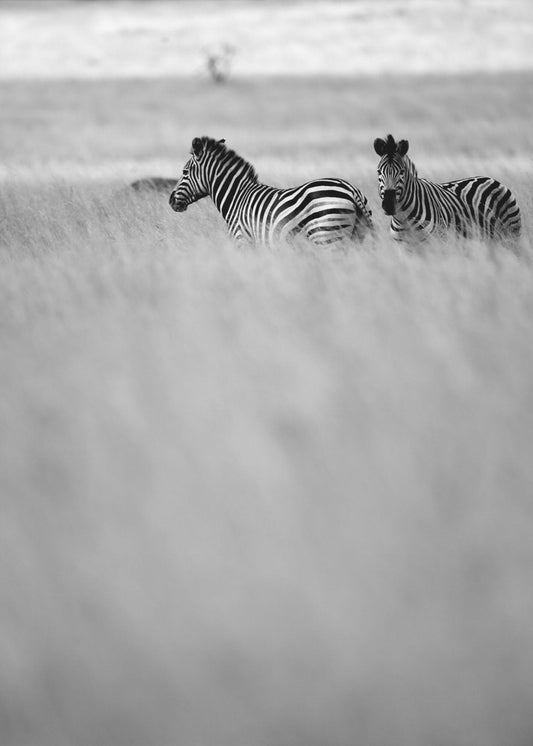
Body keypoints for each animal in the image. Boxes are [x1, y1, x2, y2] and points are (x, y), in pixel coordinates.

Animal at [169, 136, 373, 246]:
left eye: (184, 172)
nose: (170, 201)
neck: (237, 198)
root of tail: (350, 189)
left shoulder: (242, 240)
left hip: (327, 236)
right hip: (355, 238)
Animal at [373, 134, 521, 243]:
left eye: (402, 172)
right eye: (379, 172)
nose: (389, 205)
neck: (403, 218)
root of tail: (492, 179)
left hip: (511, 233)